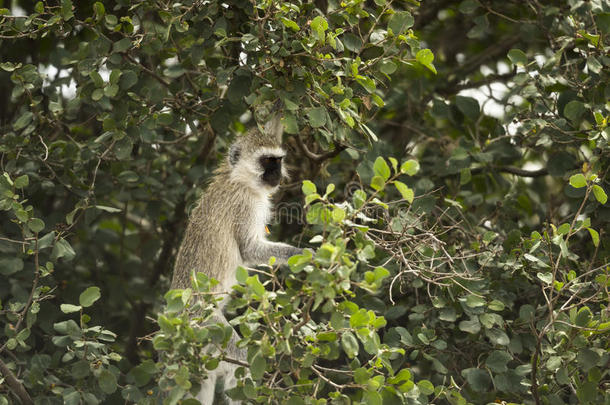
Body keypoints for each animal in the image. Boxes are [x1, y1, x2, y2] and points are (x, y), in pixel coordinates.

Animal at [170, 113, 302, 404]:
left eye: (278, 160)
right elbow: (250, 249)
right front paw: (305, 255)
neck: (241, 180)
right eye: (266, 161)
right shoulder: (245, 206)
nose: (276, 175)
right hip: (205, 324)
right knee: (240, 363)